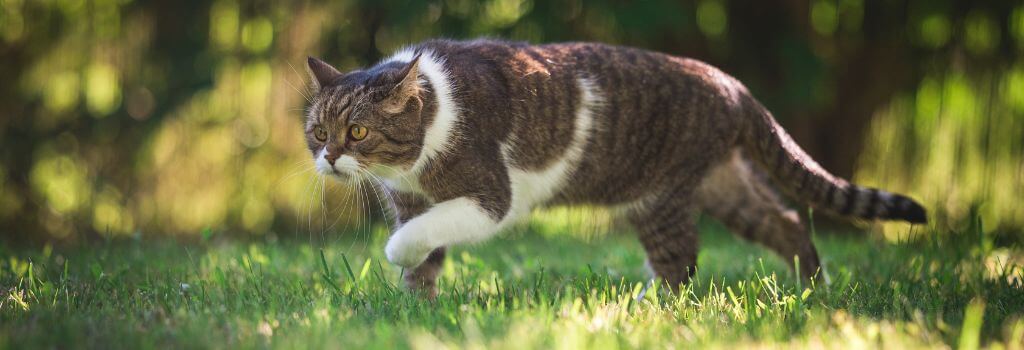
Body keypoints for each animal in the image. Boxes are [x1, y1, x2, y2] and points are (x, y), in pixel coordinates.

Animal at [303, 38, 929, 298]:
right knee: (787, 222)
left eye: (358, 132)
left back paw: (648, 307)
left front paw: (398, 255)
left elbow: (425, 232)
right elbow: (425, 256)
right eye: (318, 131)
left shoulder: (489, 195)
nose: (329, 157)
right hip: (721, 181)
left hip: (660, 195)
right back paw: (813, 288)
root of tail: (733, 84)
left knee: (681, 260)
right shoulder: (409, 197)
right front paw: (419, 305)